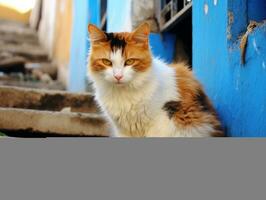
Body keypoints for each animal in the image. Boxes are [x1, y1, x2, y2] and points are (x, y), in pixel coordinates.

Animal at [88, 22, 224, 137]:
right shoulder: (122, 130)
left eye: (130, 61)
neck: (124, 94)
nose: (118, 76)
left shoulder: (160, 121)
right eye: (107, 62)